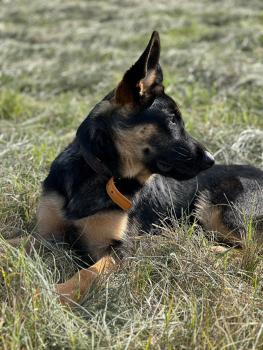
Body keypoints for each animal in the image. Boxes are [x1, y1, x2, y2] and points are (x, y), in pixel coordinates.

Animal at [5, 31, 262, 304]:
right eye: (172, 120)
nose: (211, 159)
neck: (102, 175)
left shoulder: (117, 250)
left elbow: (87, 274)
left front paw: (51, 295)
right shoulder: (45, 235)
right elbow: (9, 241)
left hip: (218, 206)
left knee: (252, 250)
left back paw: (213, 251)